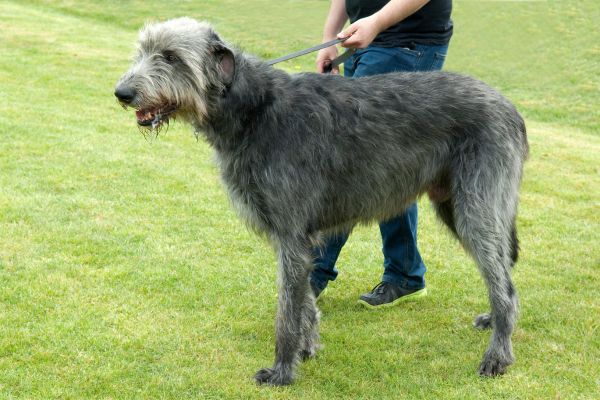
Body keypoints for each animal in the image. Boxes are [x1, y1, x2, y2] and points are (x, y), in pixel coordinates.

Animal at [115, 18, 528, 384]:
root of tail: (511, 108)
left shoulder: (291, 232)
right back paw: (493, 321)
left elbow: (287, 310)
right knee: (503, 273)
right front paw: (308, 346)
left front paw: (282, 371)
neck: (254, 109)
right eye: (143, 51)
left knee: (503, 285)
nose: (122, 93)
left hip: (476, 204)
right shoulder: (296, 238)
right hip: (455, 205)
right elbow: (305, 299)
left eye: (170, 57)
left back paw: (497, 357)